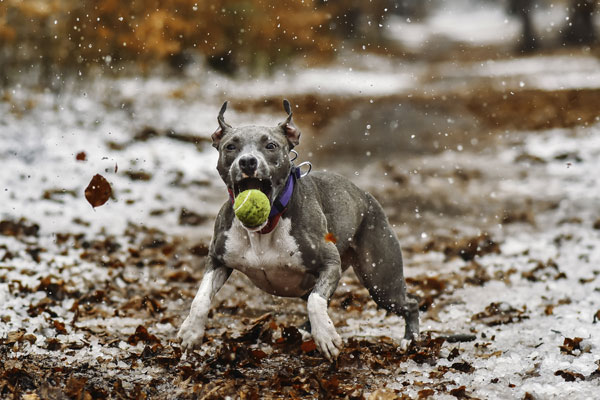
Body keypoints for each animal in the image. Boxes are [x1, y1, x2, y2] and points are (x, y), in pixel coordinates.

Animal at [178, 101, 420, 362]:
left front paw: (326, 337)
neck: (265, 227)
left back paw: (410, 340)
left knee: (410, 304)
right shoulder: (218, 259)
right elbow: (200, 297)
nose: (248, 161)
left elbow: (315, 301)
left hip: (380, 281)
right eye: (230, 146)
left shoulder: (329, 263)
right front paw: (191, 332)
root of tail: (367, 197)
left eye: (271, 146)